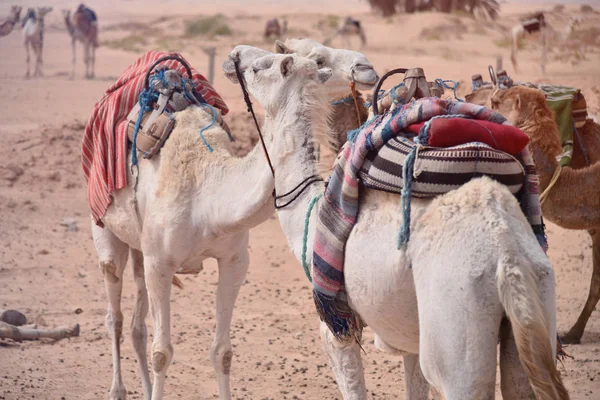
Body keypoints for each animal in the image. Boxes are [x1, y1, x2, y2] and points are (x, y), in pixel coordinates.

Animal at [89, 46, 378, 396]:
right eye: (320, 59)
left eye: (259, 66)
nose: (235, 53)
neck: (209, 194)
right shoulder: (160, 262)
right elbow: (162, 353)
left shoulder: (234, 260)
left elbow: (222, 352)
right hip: (104, 225)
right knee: (114, 314)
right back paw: (117, 389)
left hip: (140, 248)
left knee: (135, 324)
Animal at [224, 47, 568, 400]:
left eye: (261, 66)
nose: (235, 55)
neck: (310, 208)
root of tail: (507, 255)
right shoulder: (409, 338)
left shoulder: (337, 324)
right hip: (534, 303)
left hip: (456, 324)